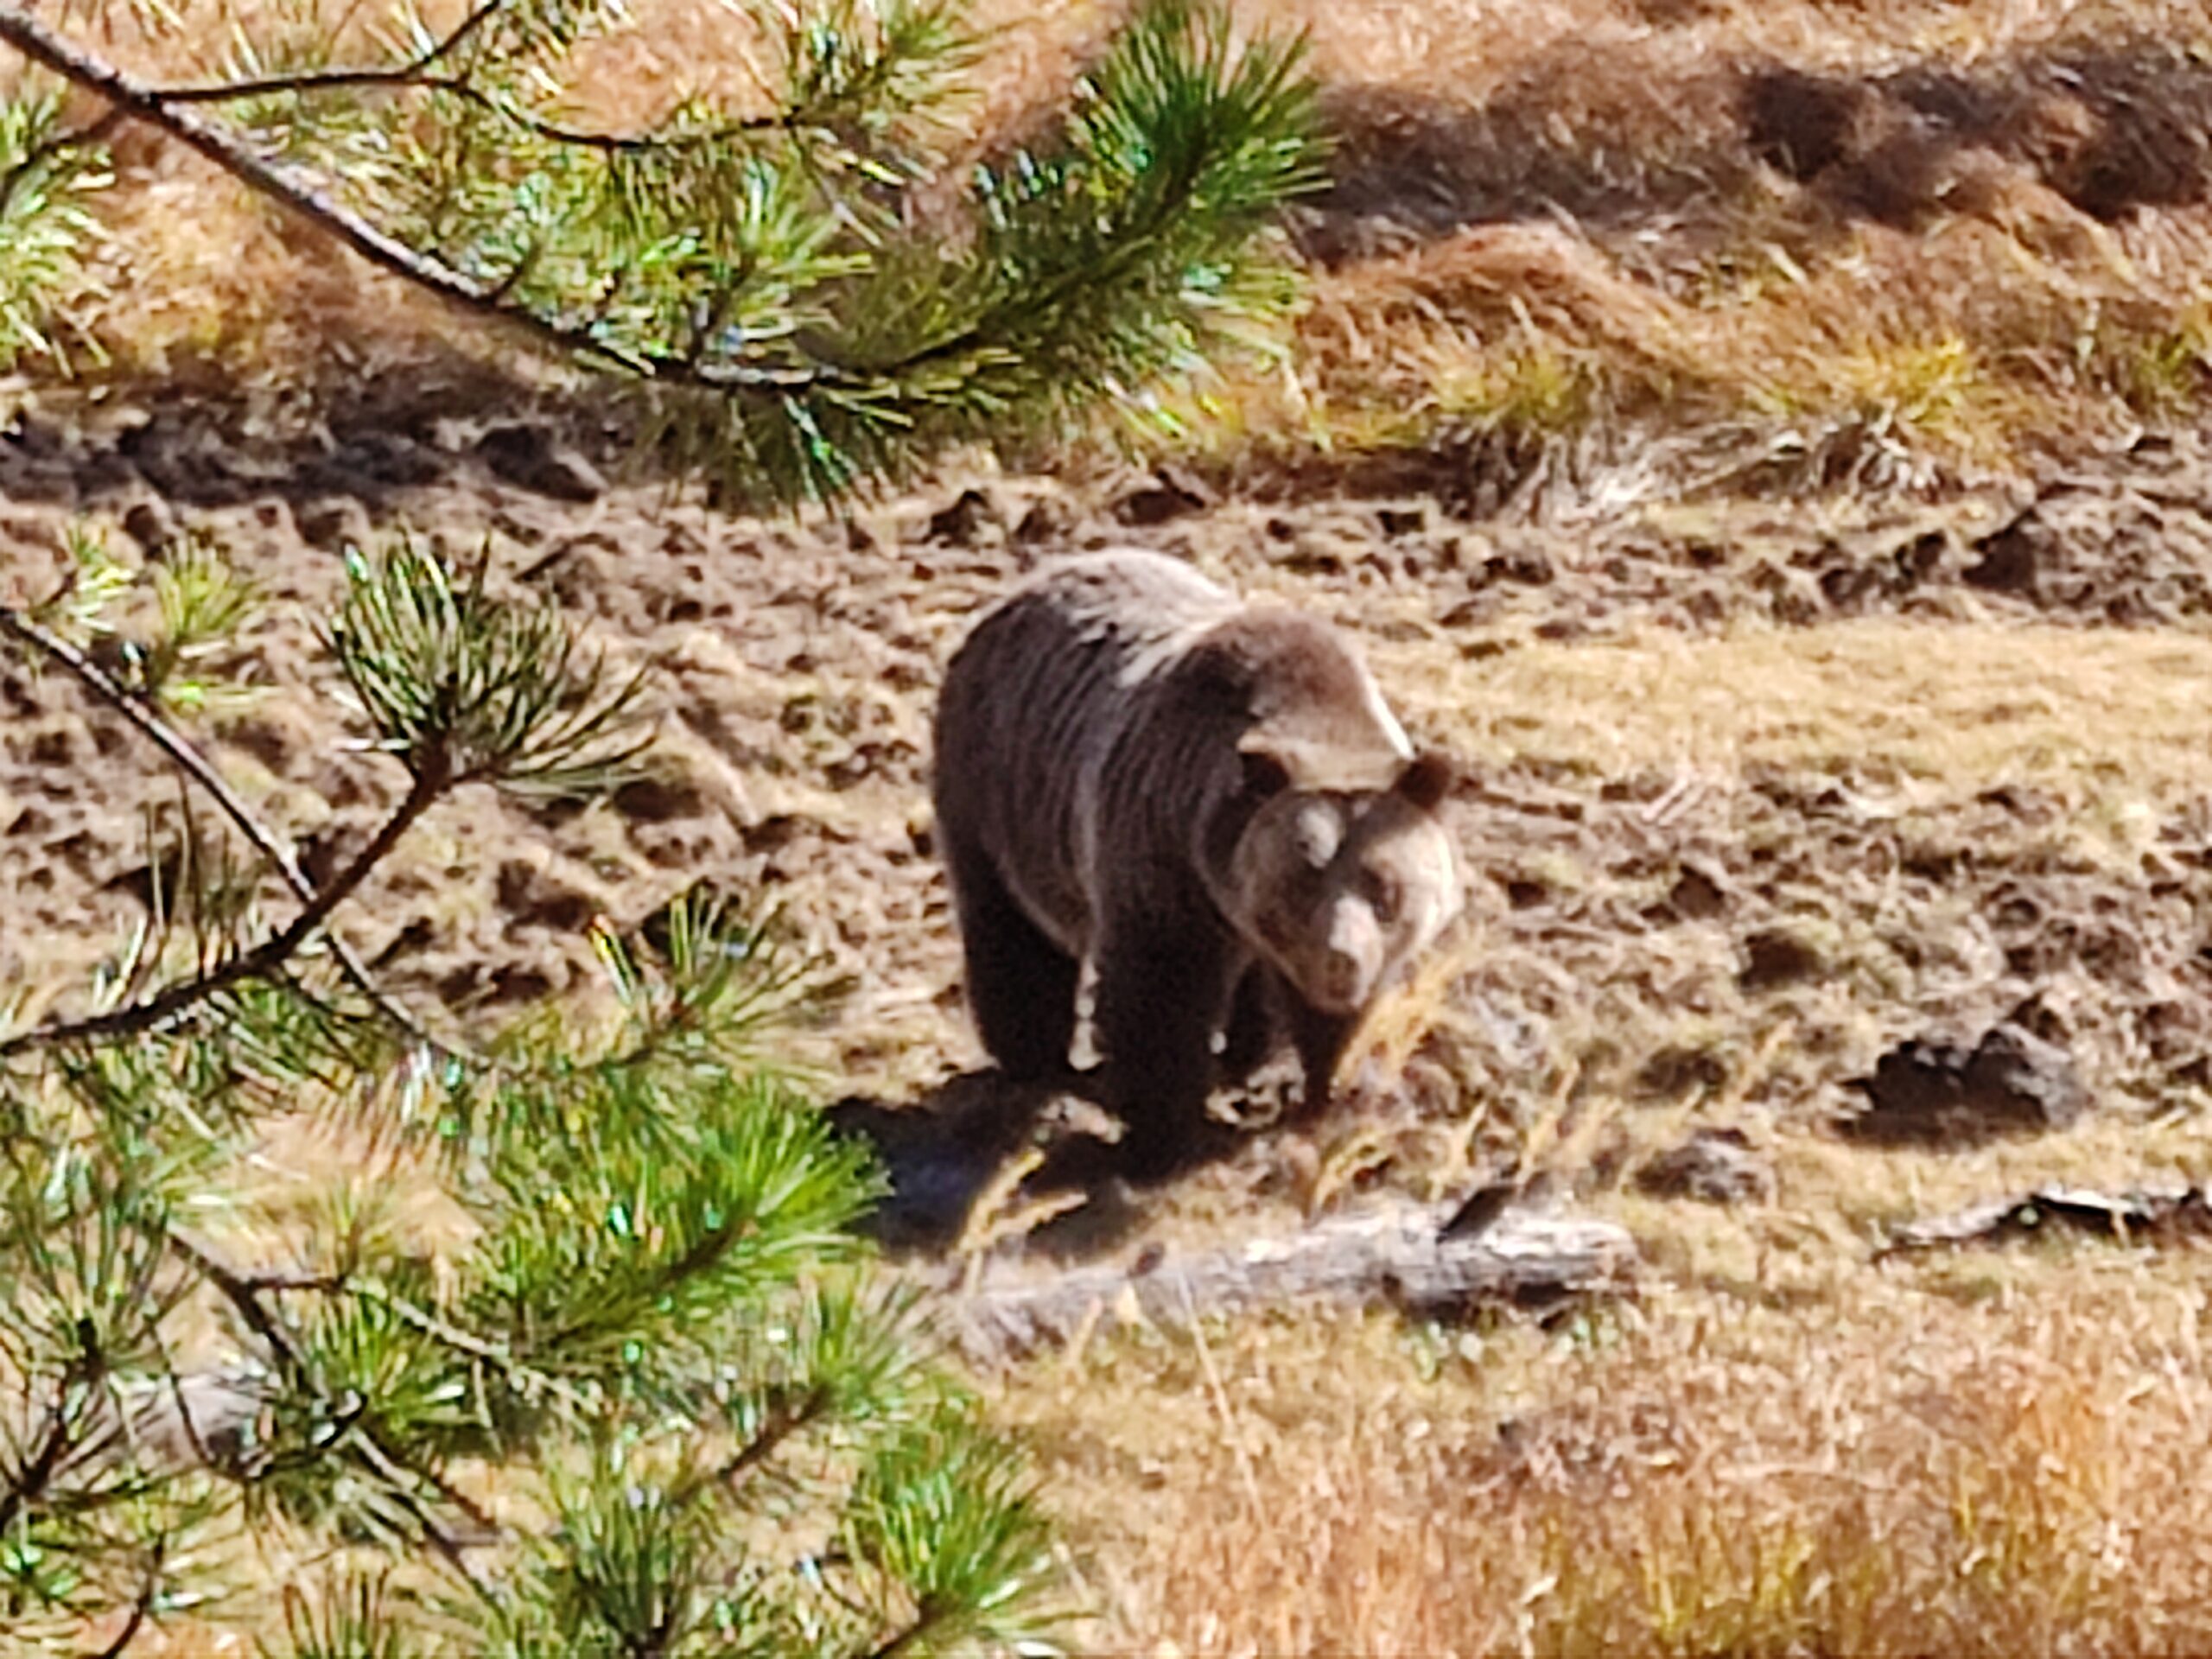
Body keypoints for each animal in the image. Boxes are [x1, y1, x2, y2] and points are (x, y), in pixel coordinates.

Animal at [925, 548, 1459, 1185]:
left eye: (1384, 886)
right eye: (1304, 876)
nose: (1340, 958)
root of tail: (1021, 588)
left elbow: (1324, 1015)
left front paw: (1324, 1085)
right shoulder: (1164, 861)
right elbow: (1159, 1003)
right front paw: (1161, 1139)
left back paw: (1245, 1056)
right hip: (997, 796)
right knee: (1013, 937)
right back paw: (1038, 1062)